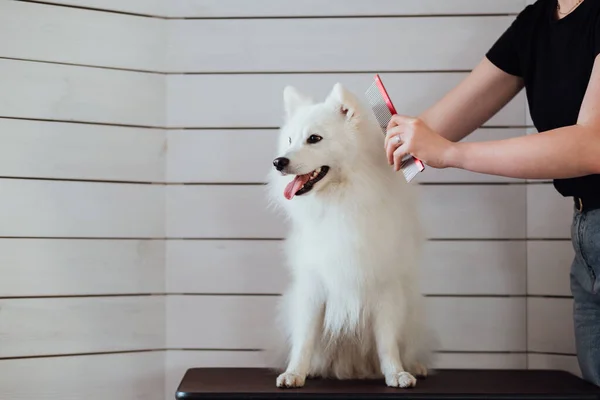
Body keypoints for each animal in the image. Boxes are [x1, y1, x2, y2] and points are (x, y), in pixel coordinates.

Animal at [266, 83, 432, 388]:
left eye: (314, 138)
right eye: (290, 140)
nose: (278, 162)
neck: (341, 201)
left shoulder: (385, 285)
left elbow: (387, 341)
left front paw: (396, 373)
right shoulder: (312, 286)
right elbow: (304, 339)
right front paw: (295, 373)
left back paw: (415, 365)